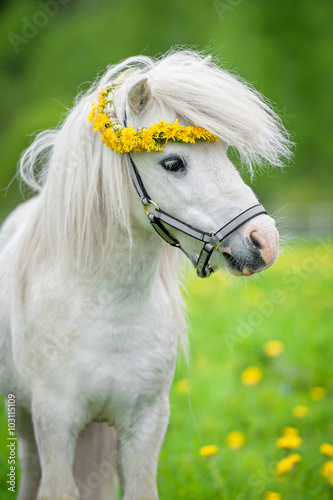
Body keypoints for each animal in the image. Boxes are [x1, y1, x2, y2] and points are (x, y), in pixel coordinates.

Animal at [0, 50, 290, 500]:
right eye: (172, 162)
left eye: (224, 152)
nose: (265, 242)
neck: (106, 310)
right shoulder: (54, 423)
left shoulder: (146, 425)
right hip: (27, 424)